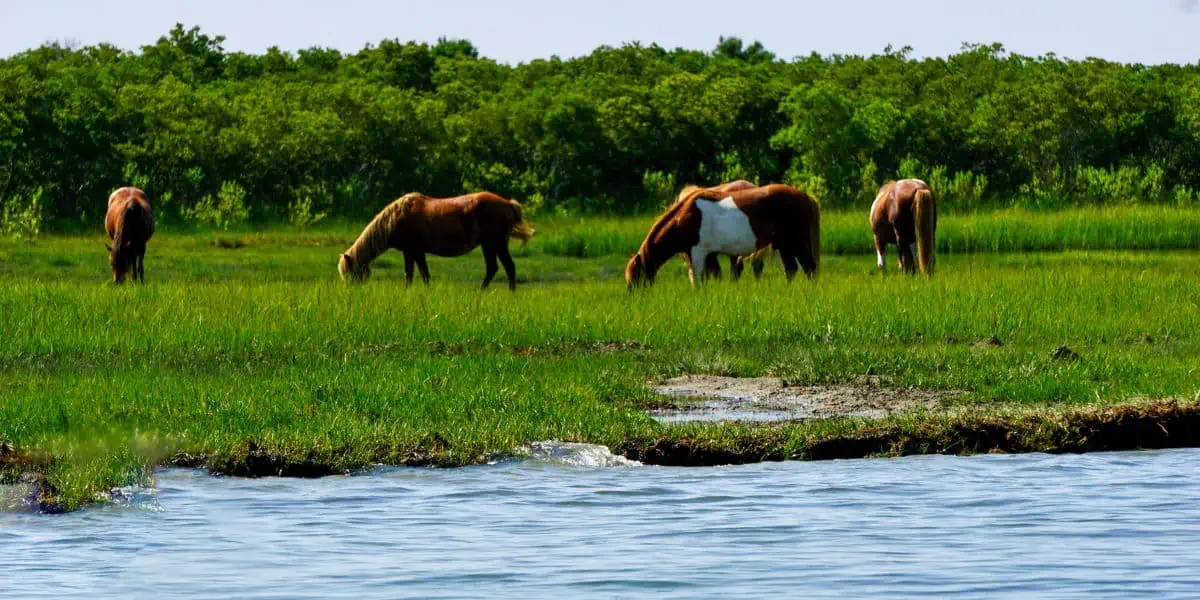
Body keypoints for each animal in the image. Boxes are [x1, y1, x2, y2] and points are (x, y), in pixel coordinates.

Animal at [338, 189, 535, 288]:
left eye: (350, 273)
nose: (351, 291)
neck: (396, 218)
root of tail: (508, 203)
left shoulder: (412, 251)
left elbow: (415, 274)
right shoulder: (414, 253)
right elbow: (418, 274)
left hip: (497, 243)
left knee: (509, 267)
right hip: (488, 245)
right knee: (493, 268)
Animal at [628, 182, 816, 288]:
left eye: (635, 276)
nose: (634, 296)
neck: (685, 217)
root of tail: (805, 196)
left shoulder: (697, 252)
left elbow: (697, 279)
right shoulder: (710, 254)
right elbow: (712, 275)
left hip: (797, 242)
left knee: (809, 267)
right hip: (784, 245)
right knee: (791, 269)